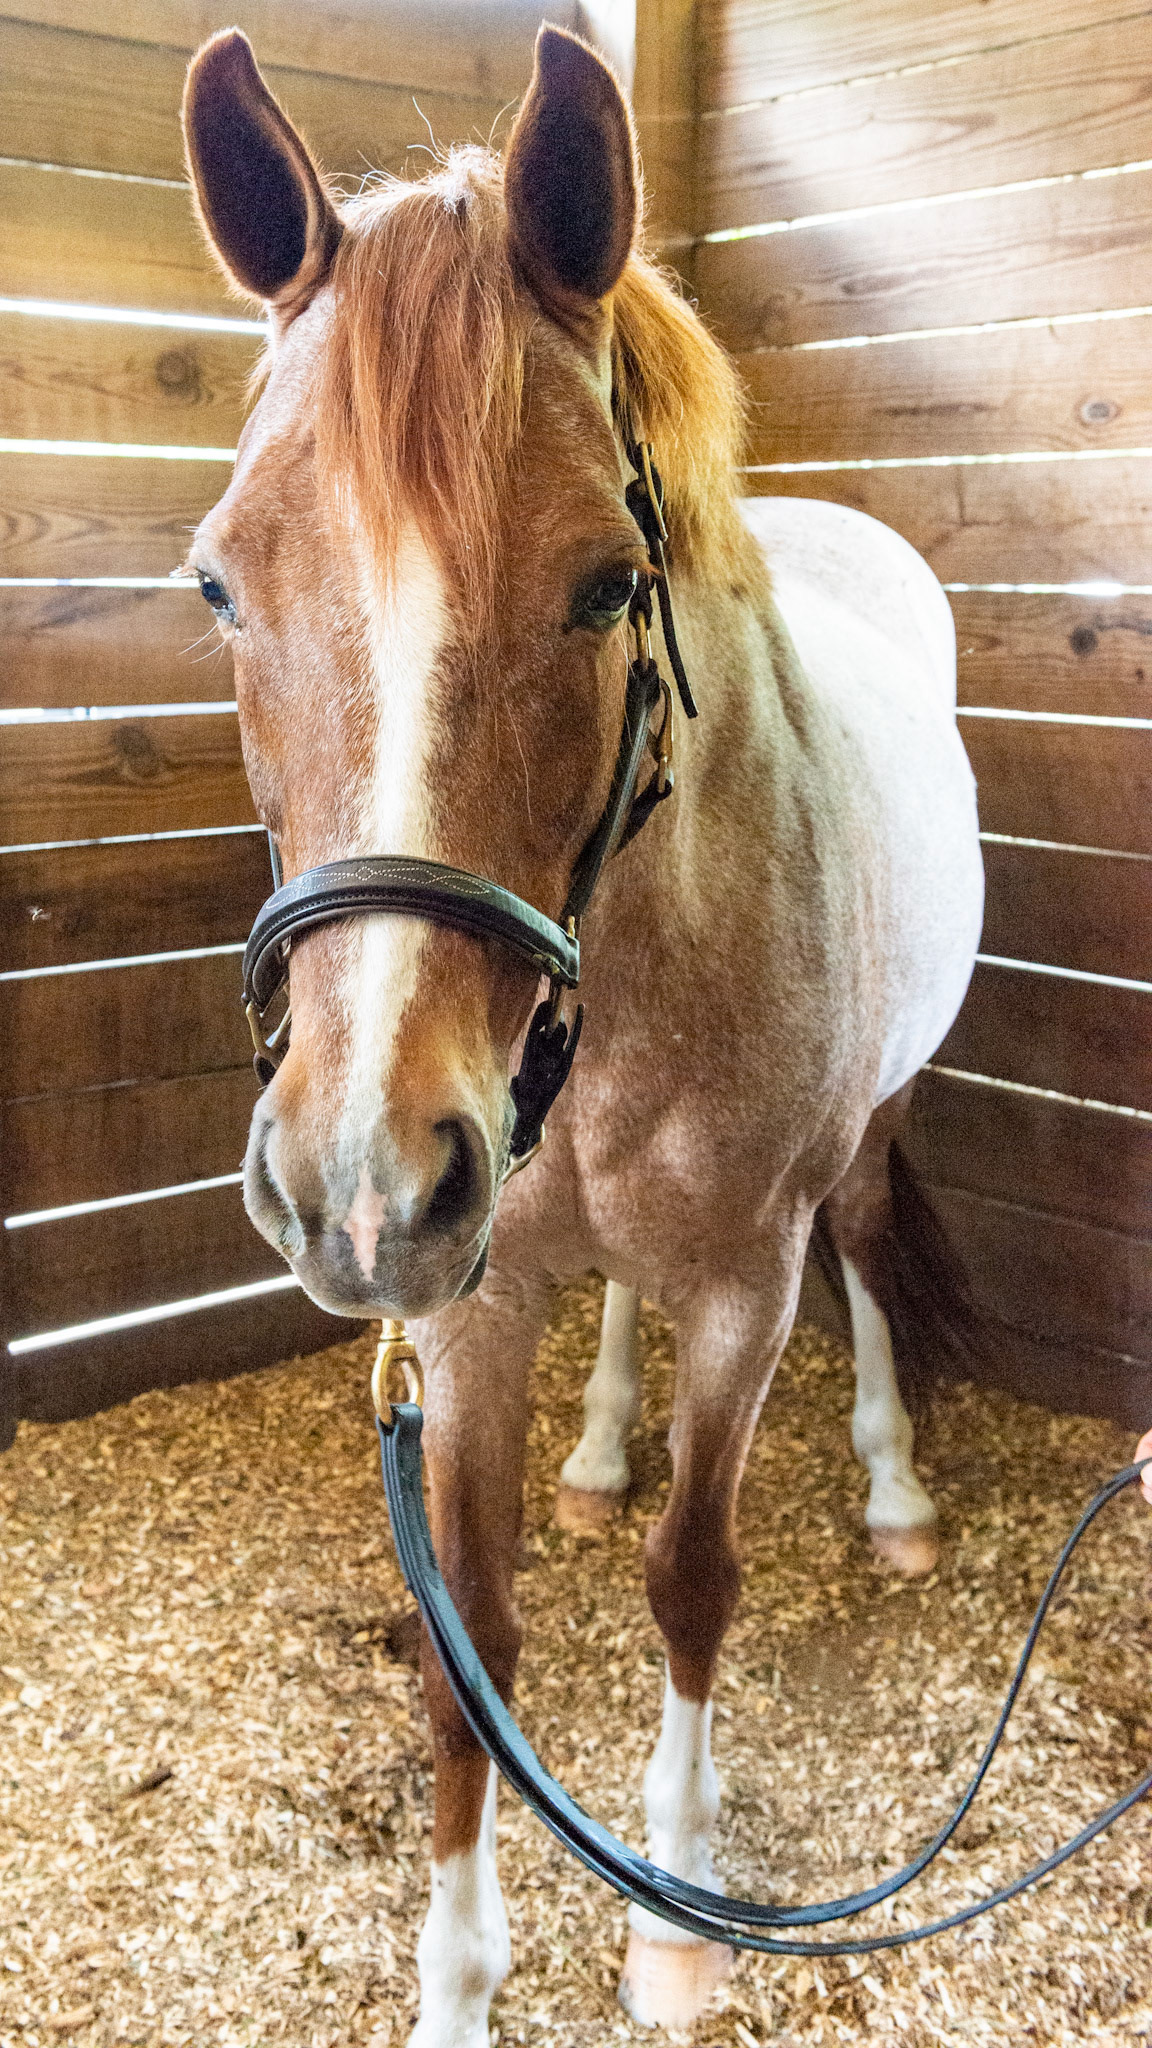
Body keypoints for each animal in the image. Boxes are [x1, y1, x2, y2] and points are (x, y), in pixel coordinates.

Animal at [180, 25, 985, 2040]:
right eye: (222, 582)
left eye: (611, 581)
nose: (361, 1177)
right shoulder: (471, 1303)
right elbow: (468, 1628)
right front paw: (458, 1978)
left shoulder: (745, 1282)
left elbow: (693, 1577)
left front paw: (672, 1910)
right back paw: (606, 1440)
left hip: (867, 1127)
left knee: (870, 1235)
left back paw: (890, 1486)